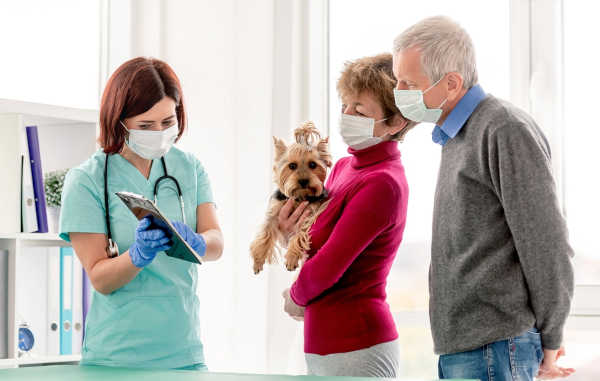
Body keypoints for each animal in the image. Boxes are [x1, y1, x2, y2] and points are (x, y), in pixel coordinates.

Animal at [250, 121, 332, 274]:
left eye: (313, 164)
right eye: (292, 166)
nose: (303, 181)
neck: (300, 196)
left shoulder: (309, 214)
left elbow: (300, 234)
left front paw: (292, 258)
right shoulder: (275, 210)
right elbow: (265, 232)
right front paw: (258, 260)